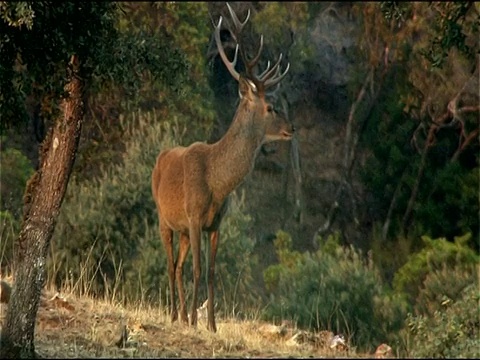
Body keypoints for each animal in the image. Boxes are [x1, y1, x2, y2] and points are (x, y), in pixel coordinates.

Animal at [151, 2, 292, 332]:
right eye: (270, 107)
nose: (291, 129)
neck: (217, 184)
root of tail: (160, 158)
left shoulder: (215, 224)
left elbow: (212, 272)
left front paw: (212, 325)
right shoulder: (193, 216)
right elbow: (198, 269)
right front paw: (195, 321)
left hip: (183, 230)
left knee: (177, 266)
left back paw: (179, 315)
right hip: (163, 217)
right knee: (170, 264)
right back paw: (175, 314)